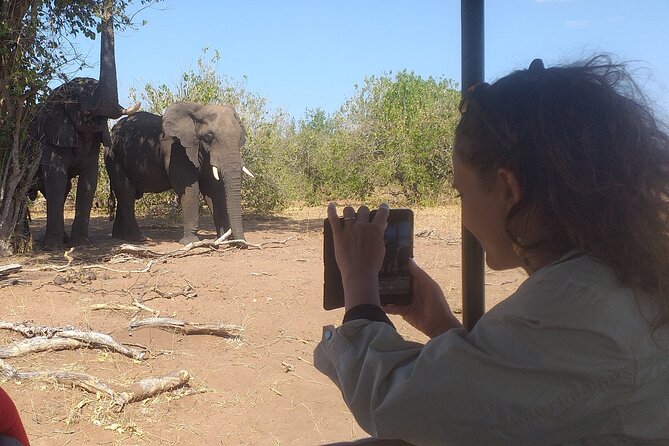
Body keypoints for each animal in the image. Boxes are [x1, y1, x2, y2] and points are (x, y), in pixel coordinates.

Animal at [31, 7, 139, 250]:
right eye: (77, 96)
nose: (104, 7)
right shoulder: (52, 135)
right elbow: (56, 178)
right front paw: (54, 248)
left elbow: (88, 182)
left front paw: (80, 244)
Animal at [106, 102, 249, 245]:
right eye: (209, 136)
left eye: (240, 136)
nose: (242, 244)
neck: (198, 111)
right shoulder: (177, 151)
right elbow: (190, 189)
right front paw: (190, 242)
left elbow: (214, 190)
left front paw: (222, 239)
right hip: (113, 155)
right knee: (126, 193)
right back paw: (138, 238)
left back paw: (120, 236)